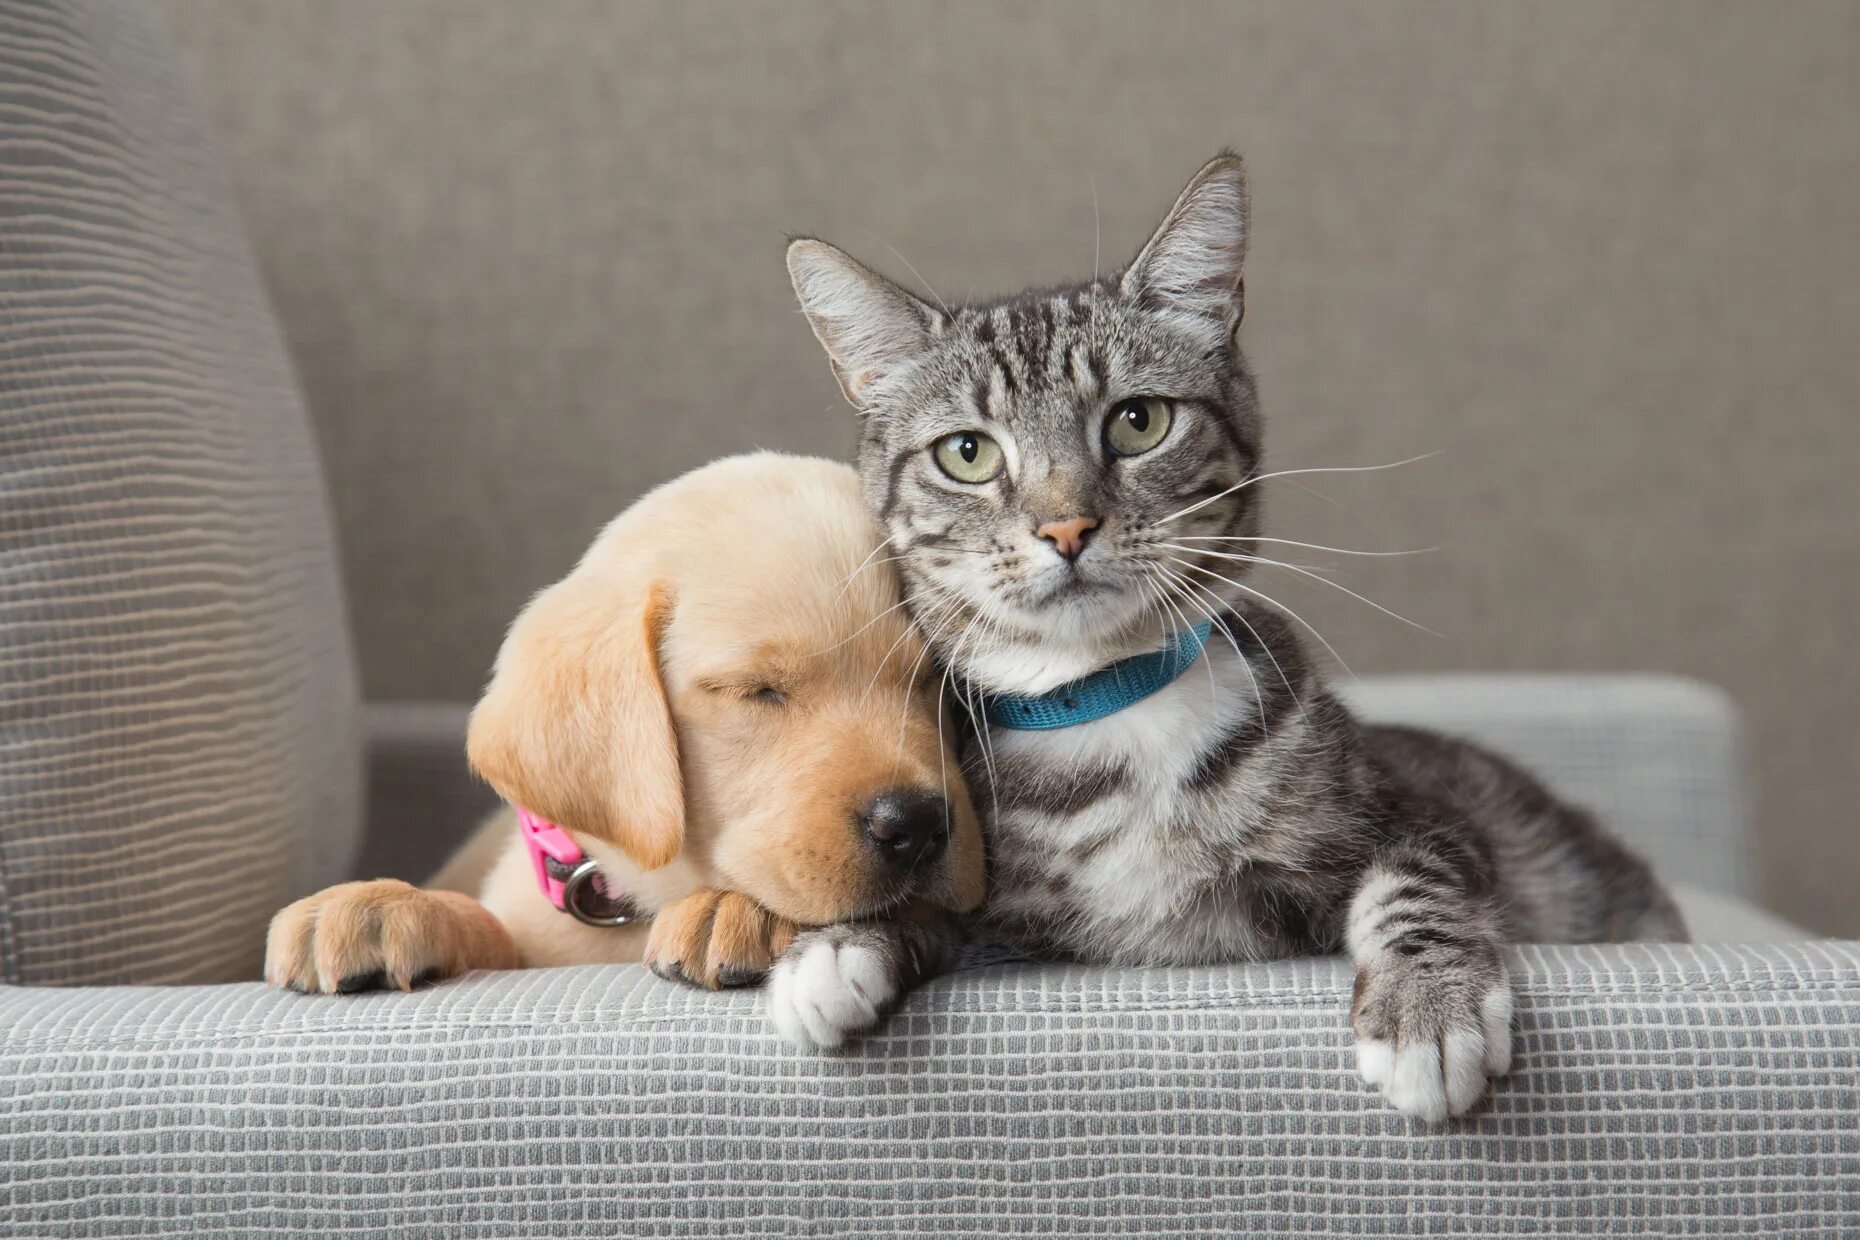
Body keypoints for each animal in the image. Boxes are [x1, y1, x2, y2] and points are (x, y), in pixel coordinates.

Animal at [267, 455, 989, 1048]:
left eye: (940, 681)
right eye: (756, 690)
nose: (917, 825)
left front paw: (736, 909)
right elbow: (491, 928)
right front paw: (380, 906)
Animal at [770, 155, 1688, 1122]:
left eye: (1138, 421)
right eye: (968, 454)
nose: (1067, 527)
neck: (1112, 709)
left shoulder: (1425, 814)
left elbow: (1417, 872)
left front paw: (1427, 1011)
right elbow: (935, 908)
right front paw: (840, 945)